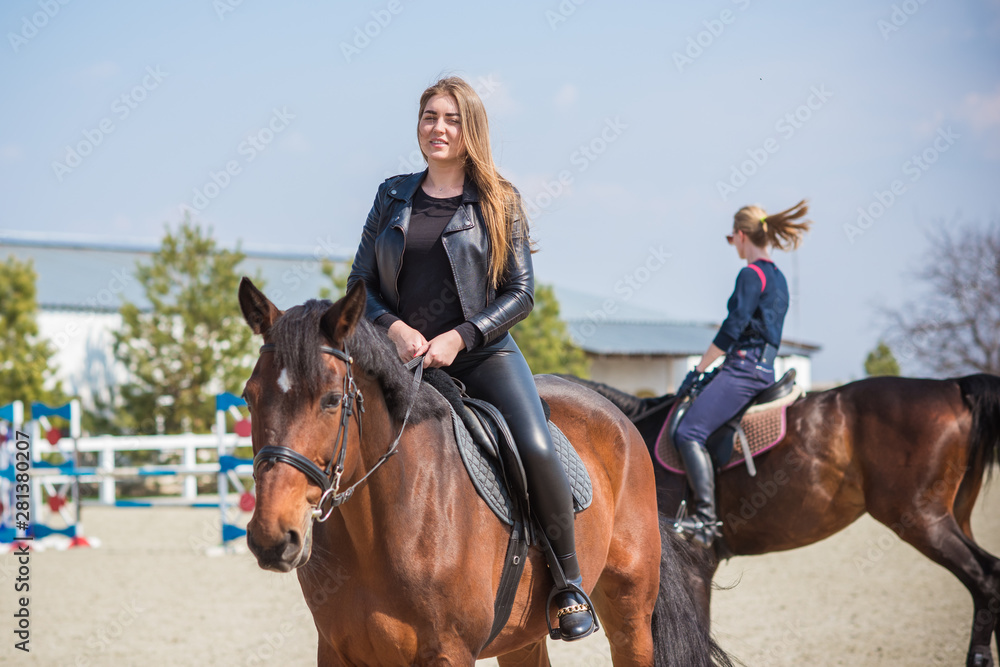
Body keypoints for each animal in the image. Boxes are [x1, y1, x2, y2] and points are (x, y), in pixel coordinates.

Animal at [236, 278, 730, 667]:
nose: (272, 537)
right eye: (248, 396)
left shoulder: (449, 653)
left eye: (331, 400)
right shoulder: (337, 652)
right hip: (523, 636)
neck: (379, 528)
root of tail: (625, 418)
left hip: (631, 614)